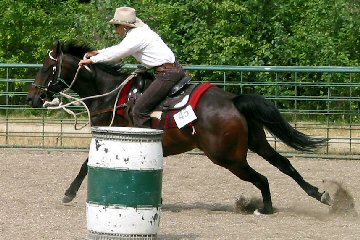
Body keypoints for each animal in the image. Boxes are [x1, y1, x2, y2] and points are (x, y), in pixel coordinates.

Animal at [26, 41, 332, 214]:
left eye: (47, 67)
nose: (32, 98)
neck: (111, 95)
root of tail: (233, 100)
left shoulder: (109, 139)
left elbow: (85, 165)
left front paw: (68, 194)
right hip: (257, 143)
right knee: (284, 165)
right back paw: (319, 195)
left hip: (228, 158)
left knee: (263, 178)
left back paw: (264, 208)